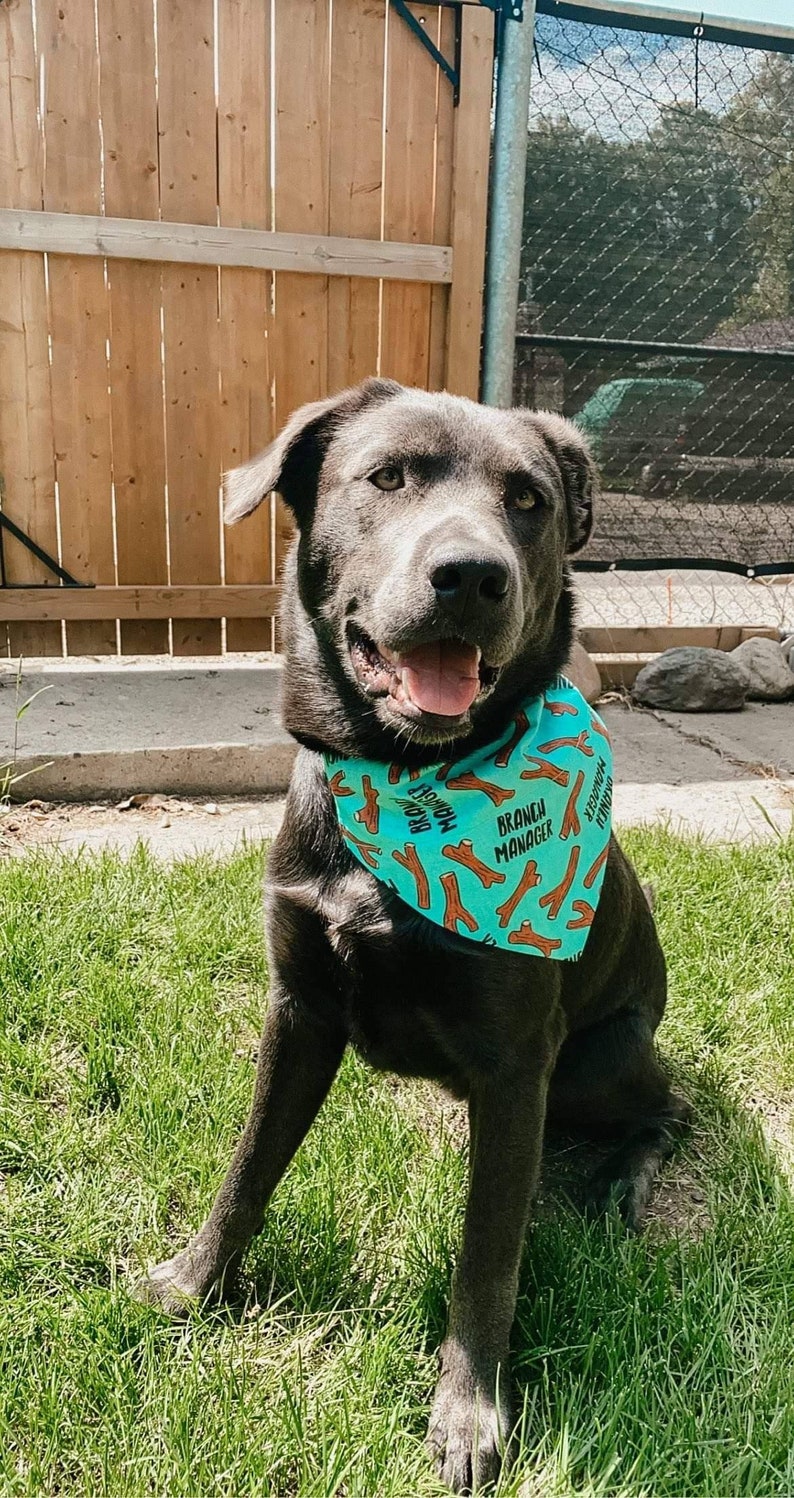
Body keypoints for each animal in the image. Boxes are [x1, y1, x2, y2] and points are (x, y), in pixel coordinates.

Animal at [139, 380, 689, 1492]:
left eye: (526, 500)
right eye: (387, 476)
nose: (471, 575)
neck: (406, 776)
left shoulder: (517, 1062)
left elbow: (487, 1256)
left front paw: (469, 1414)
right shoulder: (299, 1010)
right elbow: (246, 1170)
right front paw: (195, 1284)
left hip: (597, 1060)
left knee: (671, 1111)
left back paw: (623, 1179)